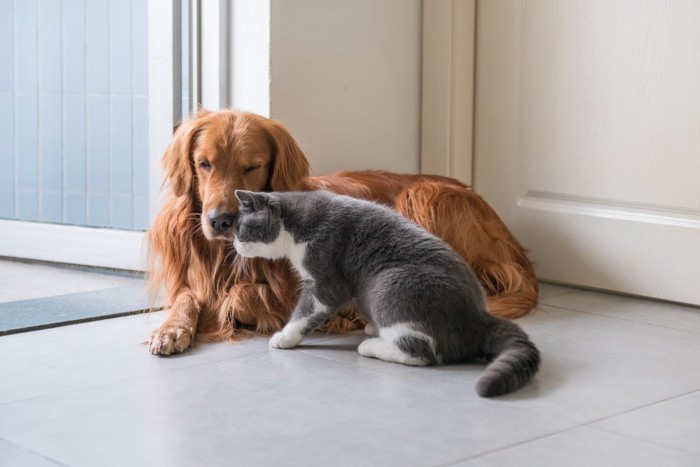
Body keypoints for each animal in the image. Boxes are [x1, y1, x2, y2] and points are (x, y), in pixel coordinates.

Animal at [145, 109, 532, 356]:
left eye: (252, 166)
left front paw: (224, 311)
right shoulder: (190, 280)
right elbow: (187, 298)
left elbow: (239, 295)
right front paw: (171, 329)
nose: (220, 221)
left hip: (424, 197)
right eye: (204, 164)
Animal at [232, 188, 540, 396]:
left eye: (240, 228)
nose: (234, 244)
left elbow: (307, 310)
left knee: (423, 353)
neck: (295, 224)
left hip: (390, 283)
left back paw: (372, 346)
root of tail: (479, 316)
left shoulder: (325, 278)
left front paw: (284, 337)